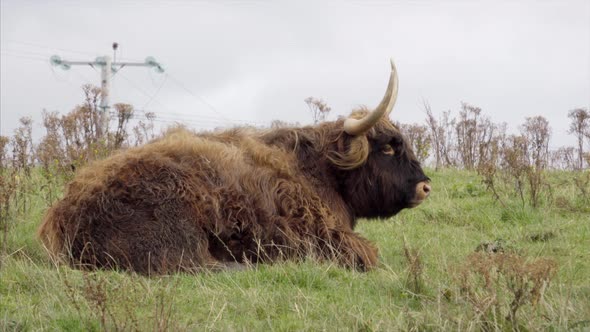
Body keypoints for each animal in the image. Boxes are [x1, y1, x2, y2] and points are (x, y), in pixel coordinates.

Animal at [39, 60, 432, 274]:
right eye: (388, 147)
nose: (425, 186)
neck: (322, 173)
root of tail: (65, 212)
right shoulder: (320, 236)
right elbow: (367, 253)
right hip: (175, 230)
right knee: (192, 265)